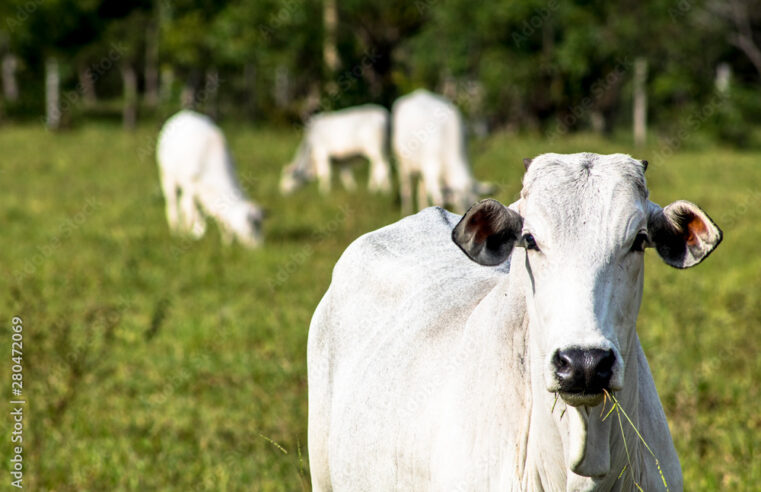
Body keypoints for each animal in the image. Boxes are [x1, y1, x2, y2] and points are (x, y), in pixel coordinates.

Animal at [156, 110, 262, 248]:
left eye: (261, 226)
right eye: (251, 229)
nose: (260, 247)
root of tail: (183, 113)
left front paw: (226, 241)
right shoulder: (190, 186)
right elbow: (189, 209)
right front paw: (192, 233)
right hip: (168, 176)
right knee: (173, 203)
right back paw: (176, 230)